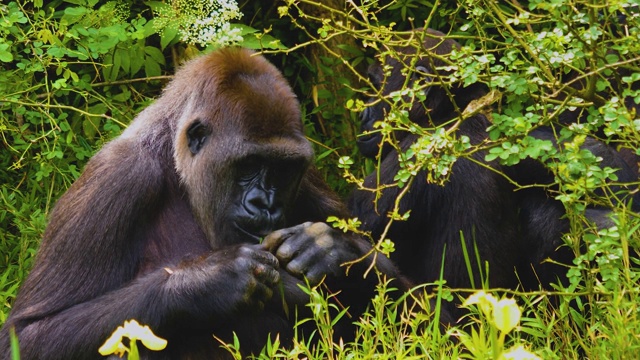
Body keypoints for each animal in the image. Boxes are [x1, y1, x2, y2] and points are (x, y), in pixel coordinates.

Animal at [0, 48, 410, 360]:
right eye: (249, 165)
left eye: (281, 169)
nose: (265, 204)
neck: (178, 164)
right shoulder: (118, 174)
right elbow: (28, 334)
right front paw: (206, 281)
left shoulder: (308, 183)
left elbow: (413, 315)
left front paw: (329, 249)